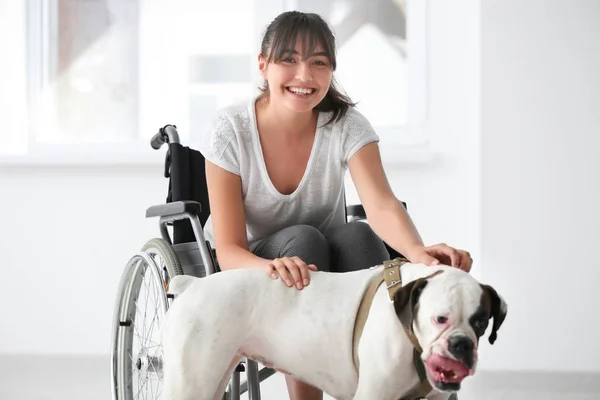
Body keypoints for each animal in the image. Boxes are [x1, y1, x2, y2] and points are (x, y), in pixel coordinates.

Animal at [161, 260, 506, 400]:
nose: (461, 344)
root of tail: (193, 283)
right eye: (440, 319)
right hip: (190, 383)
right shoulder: (373, 395)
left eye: (480, 322)